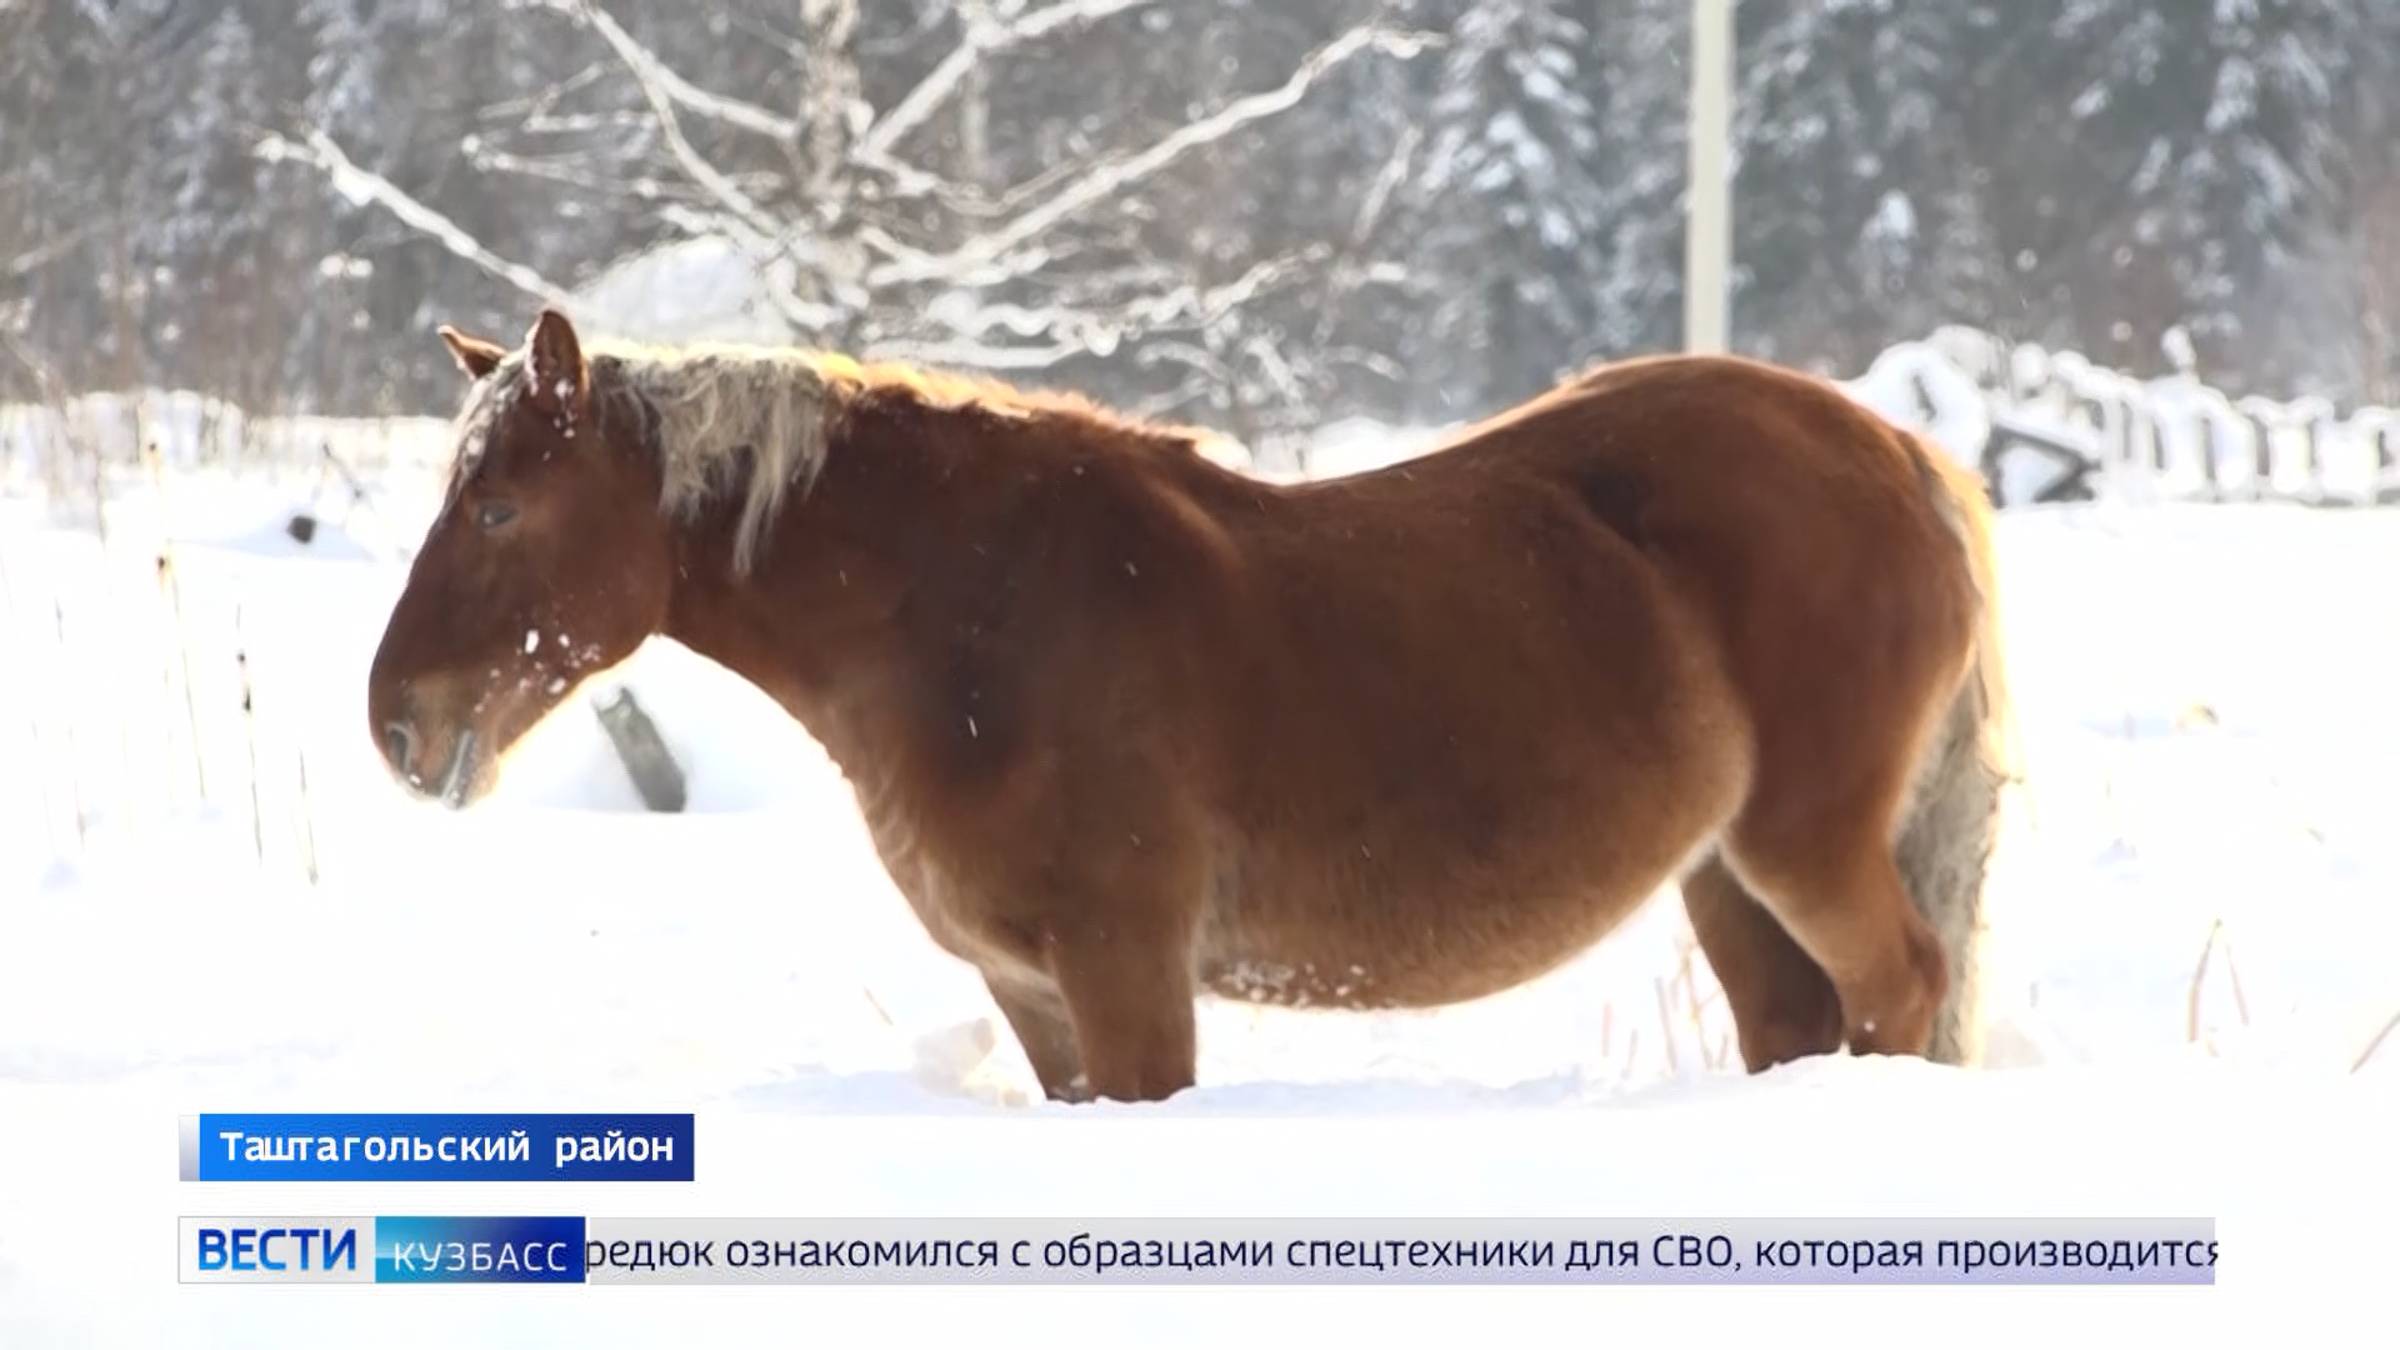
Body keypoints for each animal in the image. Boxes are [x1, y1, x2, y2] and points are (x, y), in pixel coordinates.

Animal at [374, 307, 2016, 1104]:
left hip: (1805, 846)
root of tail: (1904, 454)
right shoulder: (1035, 995)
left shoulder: (1127, 972)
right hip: (1724, 874)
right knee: (1803, 1020)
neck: (972, 619)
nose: (394, 723)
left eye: (501, 505)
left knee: (1903, 987)